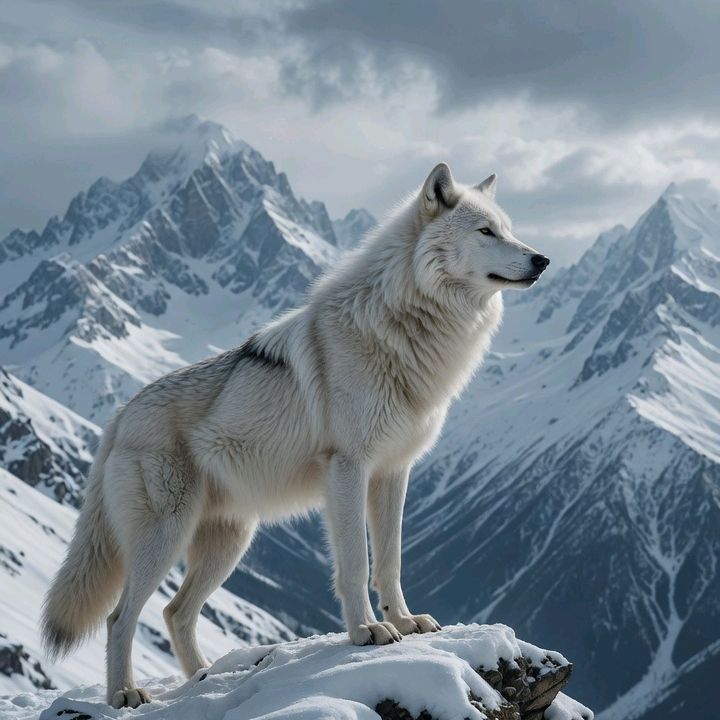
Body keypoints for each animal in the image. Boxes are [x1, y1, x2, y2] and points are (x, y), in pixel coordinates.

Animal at [41, 163, 549, 708]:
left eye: (509, 228)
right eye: (486, 231)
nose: (542, 259)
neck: (405, 324)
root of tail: (117, 417)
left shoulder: (393, 473)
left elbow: (389, 562)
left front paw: (406, 622)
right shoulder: (348, 468)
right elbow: (355, 563)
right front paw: (366, 632)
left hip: (229, 543)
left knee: (175, 612)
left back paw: (204, 681)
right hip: (166, 538)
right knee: (120, 617)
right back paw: (125, 695)